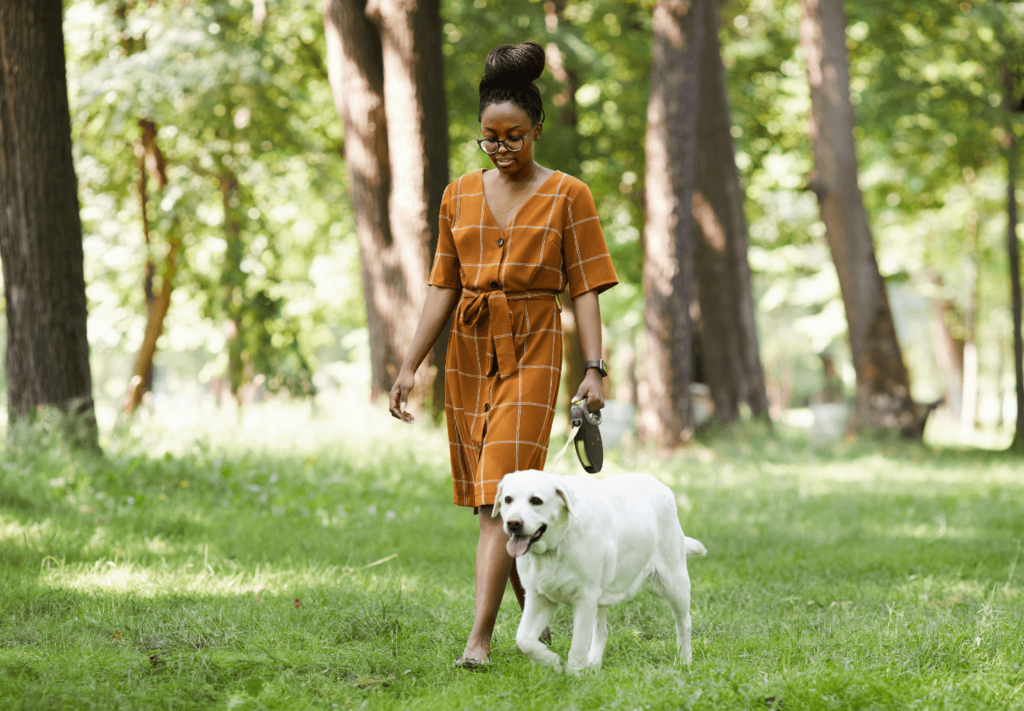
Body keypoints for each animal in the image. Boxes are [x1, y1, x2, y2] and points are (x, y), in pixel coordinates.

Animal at [493, 471, 704, 676]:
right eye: (508, 499)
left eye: (536, 500)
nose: (513, 523)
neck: (556, 547)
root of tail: (661, 484)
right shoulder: (539, 598)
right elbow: (524, 639)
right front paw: (550, 660)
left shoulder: (585, 599)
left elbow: (577, 646)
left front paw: (574, 676)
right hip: (603, 595)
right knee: (602, 631)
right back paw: (593, 663)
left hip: (674, 584)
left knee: (684, 623)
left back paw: (684, 661)